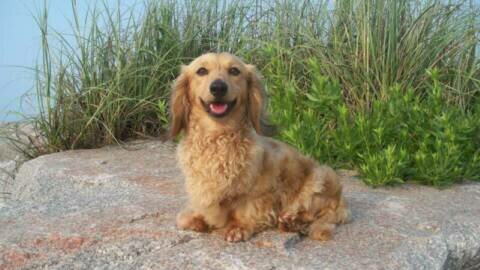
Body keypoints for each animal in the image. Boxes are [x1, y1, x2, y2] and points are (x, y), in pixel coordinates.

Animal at [170, 52, 348, 243]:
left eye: (234, 71)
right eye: (201, 71)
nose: (218, 87)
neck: (218, 138)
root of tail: (342, 204)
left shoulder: (261, 190)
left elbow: (248, 209)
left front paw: (239, 227)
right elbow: (183, 219)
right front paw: (198, 220)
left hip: (322, 176)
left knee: (315, 214)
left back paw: (293, 221)